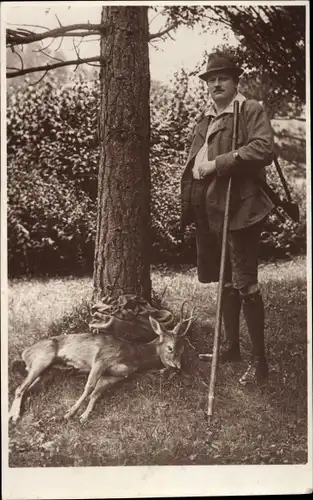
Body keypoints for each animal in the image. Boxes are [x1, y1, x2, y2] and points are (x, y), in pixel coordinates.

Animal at [9, 302, 195, 424]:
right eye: (170, 348)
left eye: (183, 348)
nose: (179, 368)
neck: (134, 355)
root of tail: (25, 352)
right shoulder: (102, 358)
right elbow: (88, 388)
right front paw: (69, 413)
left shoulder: (117, 374)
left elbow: (96, 393)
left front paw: (83, 416)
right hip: (42, 358)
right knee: (20, 388)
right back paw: (14, 416)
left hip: (50, 372)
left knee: (27, 389)